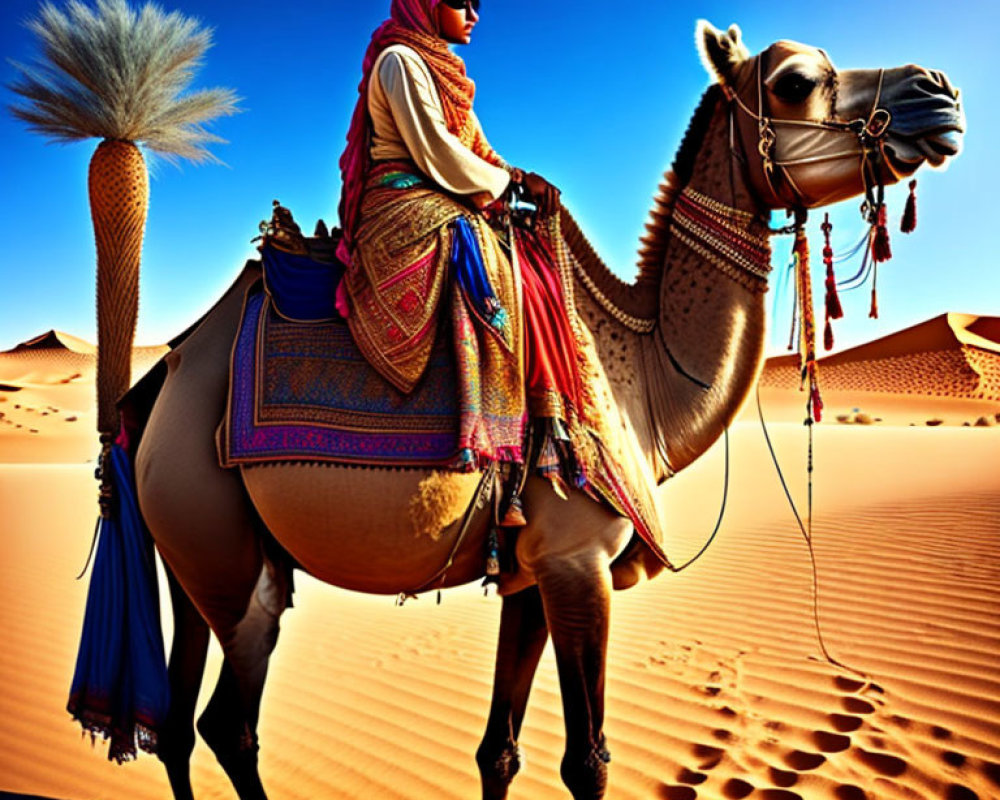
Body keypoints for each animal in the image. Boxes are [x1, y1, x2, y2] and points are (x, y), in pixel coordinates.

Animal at [125, 20, 960, 800]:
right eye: (796, 82)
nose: (938, 92)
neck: (646, 378)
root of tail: (165, 376)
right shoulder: (577, 561)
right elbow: (585, 761)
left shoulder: (532, 571)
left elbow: (500, 748)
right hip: (224, 547)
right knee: (228, 721)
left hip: (193, 552)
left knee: (177, 722)